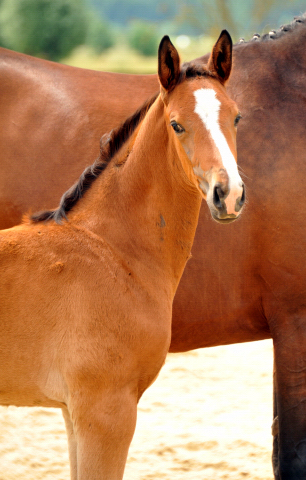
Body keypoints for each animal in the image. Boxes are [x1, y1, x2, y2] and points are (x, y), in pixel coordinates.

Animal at [0, 13, 306, 478]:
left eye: (237, 118)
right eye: (177, 124)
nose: (229, 195)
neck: (108, 251)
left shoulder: (75, 412)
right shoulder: (105, 410)